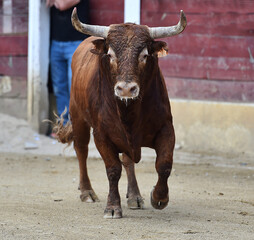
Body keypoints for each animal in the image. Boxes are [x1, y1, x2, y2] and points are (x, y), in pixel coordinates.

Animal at [54, 7, 186, 218]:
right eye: (110, 54)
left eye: (145, 55)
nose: (125, 89)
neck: (131, 112)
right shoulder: (102, 135)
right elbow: (113, 170)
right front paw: (113, 207)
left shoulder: (166, 129)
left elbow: (164, 164)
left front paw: (159, 198)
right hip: (78, 116)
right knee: (81, 150)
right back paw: (87, 192)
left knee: (128, 160)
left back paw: (135, 196)